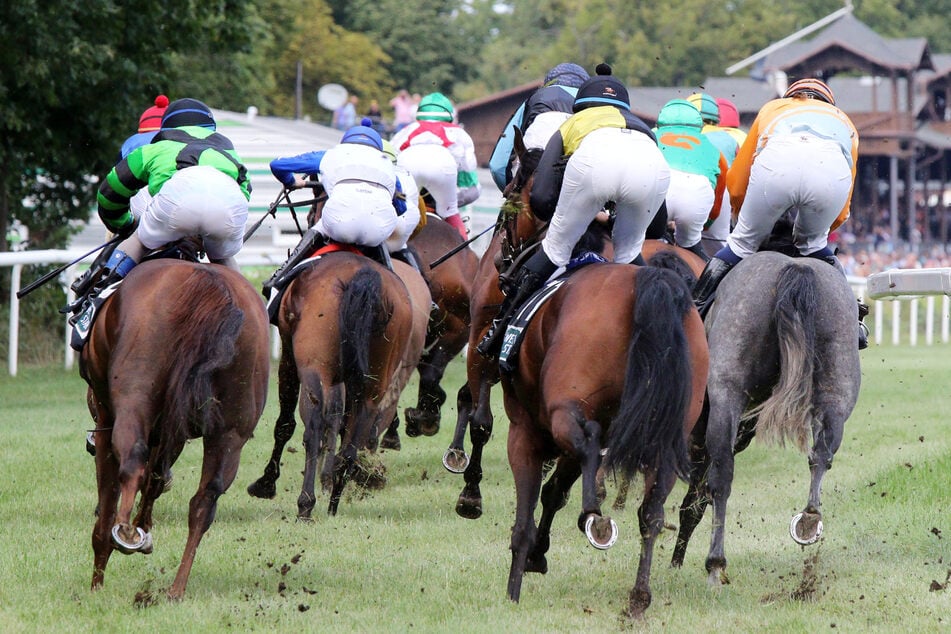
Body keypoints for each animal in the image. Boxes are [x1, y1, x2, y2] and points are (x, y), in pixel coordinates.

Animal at [81, 260, 272, 600]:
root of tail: (207, 284)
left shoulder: (105, 422)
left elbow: (110, 499)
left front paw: (97, 585)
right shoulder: (176, 429)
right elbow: (156, 478)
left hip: (135, 392)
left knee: (133, 460)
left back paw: (126, 533)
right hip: (230, 432)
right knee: (204, 501)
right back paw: (176, 588)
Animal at [245, 249, 428, 516]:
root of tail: (365, 277)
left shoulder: (290, 358)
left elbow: (285, 424)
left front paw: (266, 483)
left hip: (315, 369)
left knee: (313, 428)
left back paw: (306, 504)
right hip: (376, 380)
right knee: (355, 437)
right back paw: (334, 502)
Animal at [502, 260, 712, 612]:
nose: (502, 268)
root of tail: (649, 279)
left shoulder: (524, 433)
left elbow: (524, 522)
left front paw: (513, 592)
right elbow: (554, 492)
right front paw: (537, 556)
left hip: (565, 410)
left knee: (589, 441)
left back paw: (593, 517)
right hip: (667, 439)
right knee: (651, 513)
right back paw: (639, 596)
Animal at [668, 251, 864, 584]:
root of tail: (796, 268)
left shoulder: (701, 433)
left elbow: (696, 499)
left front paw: (676, 561)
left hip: (728, 390)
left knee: (722, 476)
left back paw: (715, 563)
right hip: (838, 383)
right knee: (822, 453)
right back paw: (809, 520)